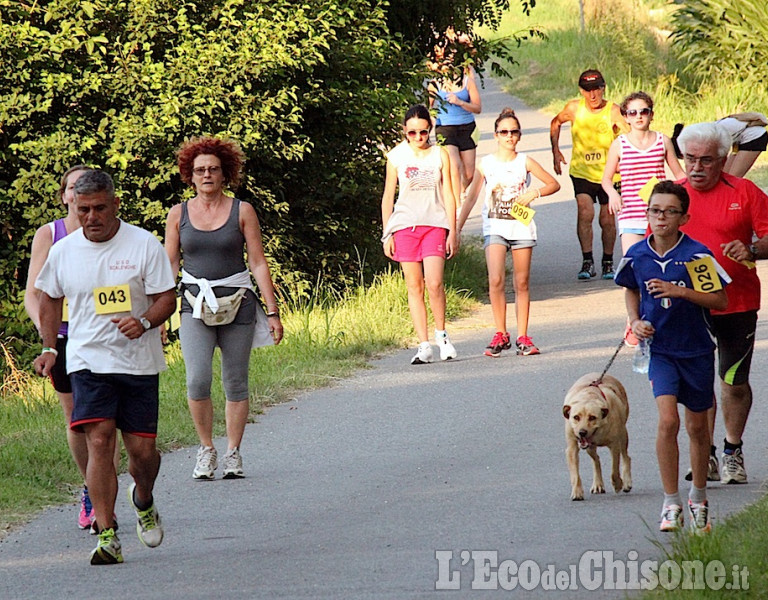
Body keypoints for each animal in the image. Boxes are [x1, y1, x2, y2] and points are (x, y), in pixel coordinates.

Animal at [564, 372, 632, 500]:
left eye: (592, 417)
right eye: (576, 417)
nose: (582, 432)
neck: (588, 396)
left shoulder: (614, 445)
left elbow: (614, 470)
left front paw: (618, 484)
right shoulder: (572, 447)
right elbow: (575, 474)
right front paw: (577, 492)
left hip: (623, 435)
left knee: (626, 457)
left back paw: (627, 482)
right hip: (590, 448)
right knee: (596, 460)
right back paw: (598, 484)